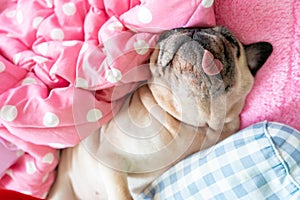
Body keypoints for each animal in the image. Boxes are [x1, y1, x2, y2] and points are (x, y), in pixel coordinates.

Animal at [48, 26, 272, 200]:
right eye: (173, 31)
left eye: (230, 40)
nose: (194, 31)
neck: (188, 120)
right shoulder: (111, 158)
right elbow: (122, 193)